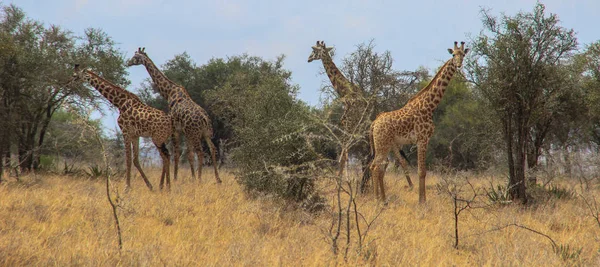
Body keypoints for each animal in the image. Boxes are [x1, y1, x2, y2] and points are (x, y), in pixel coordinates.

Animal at [125, 47, 221, 184]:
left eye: (135, 57)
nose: (127, 63)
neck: (169, 92)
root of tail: (204, 119)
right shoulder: (185, 131)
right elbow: (188, 154)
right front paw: (191, 177)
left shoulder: (175, 129)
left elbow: (177, 153)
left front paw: (176, 178)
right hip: (206, 133)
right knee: (212, 149)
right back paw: (218, 179)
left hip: (196, 134)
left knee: (200, 152)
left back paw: (200, 178)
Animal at [310, 40, 412, 188]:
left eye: (314, 50)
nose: (308, 58)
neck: (345, 92)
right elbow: (344, 155)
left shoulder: (348, 127)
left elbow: (343, 155)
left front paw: (339, 182)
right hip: (384, 144)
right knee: (393, 161)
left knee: (389, 161)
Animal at [370, 41, 468, 203]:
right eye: (453, 54)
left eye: (463, 55)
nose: (459, 65)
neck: (430, 105)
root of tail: (374, 124)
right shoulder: (422, 139)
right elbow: (422, 171)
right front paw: (422, 202)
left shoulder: (421, 140)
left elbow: (421, 171)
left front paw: (422, 200)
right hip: (382, 144)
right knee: (377, 167)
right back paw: (380, 201)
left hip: (385, 145)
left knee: (376, 167)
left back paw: (380, 199)